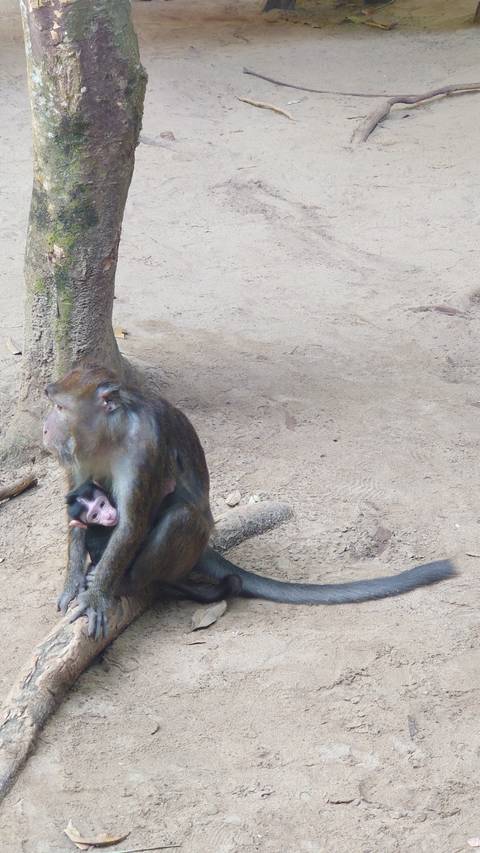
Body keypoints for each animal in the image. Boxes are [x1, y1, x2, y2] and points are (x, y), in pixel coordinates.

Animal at [43, 364, 455, 640]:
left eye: (60, 408)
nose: (45, 427)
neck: (110, 437)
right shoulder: (80, 457)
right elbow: (76, 506)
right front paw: (72, 581)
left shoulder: (145, 444)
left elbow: (131, 522)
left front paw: (97, 594)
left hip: (187, 545)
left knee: (181, 518)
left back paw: (131, 583)